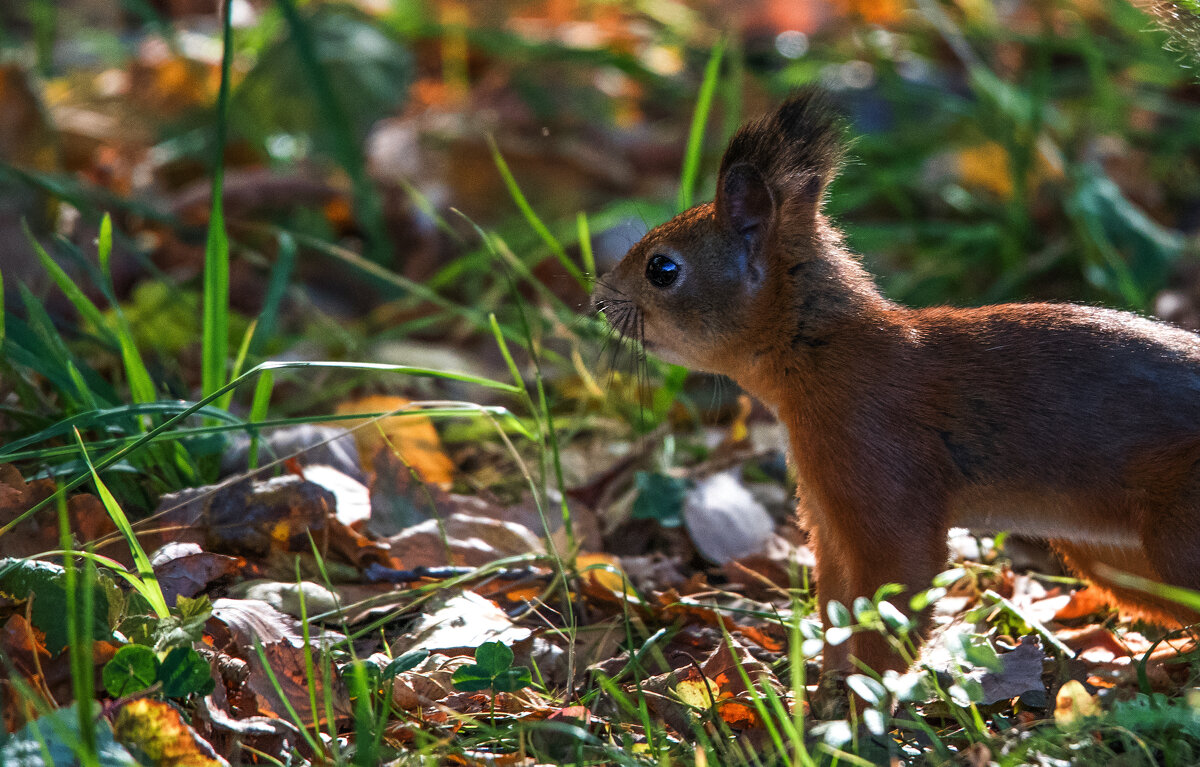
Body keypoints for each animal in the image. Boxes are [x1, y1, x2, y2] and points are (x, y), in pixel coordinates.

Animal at [595, 87, 1200, 681]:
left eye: (662, 270)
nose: (600, 299)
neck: (822, 351)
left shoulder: (882, 467)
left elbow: (894, 589)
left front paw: (865, 697)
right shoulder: (827, 509)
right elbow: (837, 601)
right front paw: (825, 686)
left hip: (1178, 532)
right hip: (1116, 556)